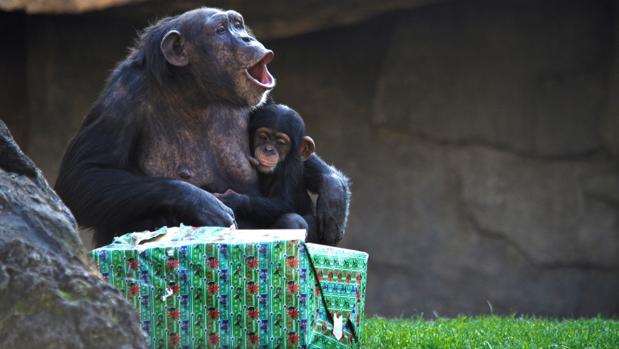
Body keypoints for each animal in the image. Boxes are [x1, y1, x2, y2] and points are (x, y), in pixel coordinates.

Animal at [214, 102, 320, 239]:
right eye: (263, 137)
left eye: (280, 142)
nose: (268, 149)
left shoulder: (290, 169)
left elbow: (284, 203)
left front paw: (233, 199)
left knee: (292, 220)